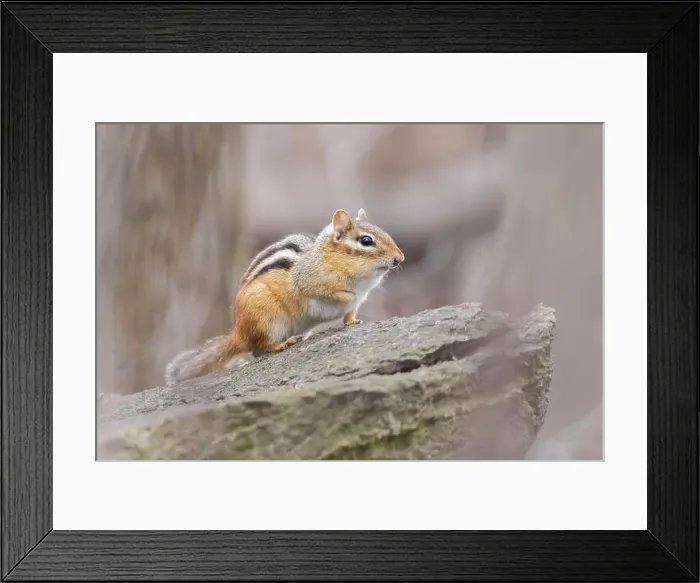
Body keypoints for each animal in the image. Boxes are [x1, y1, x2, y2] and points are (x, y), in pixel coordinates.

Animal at [164, 208, 405, 386]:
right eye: (366, 241)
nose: (400, 258)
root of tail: (239, 332)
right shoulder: (309, 284)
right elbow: (331, 294)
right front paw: (346, 295)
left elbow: (350, 314)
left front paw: (353, 321)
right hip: (268, 319)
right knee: (261, 346)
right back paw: (281, 344)